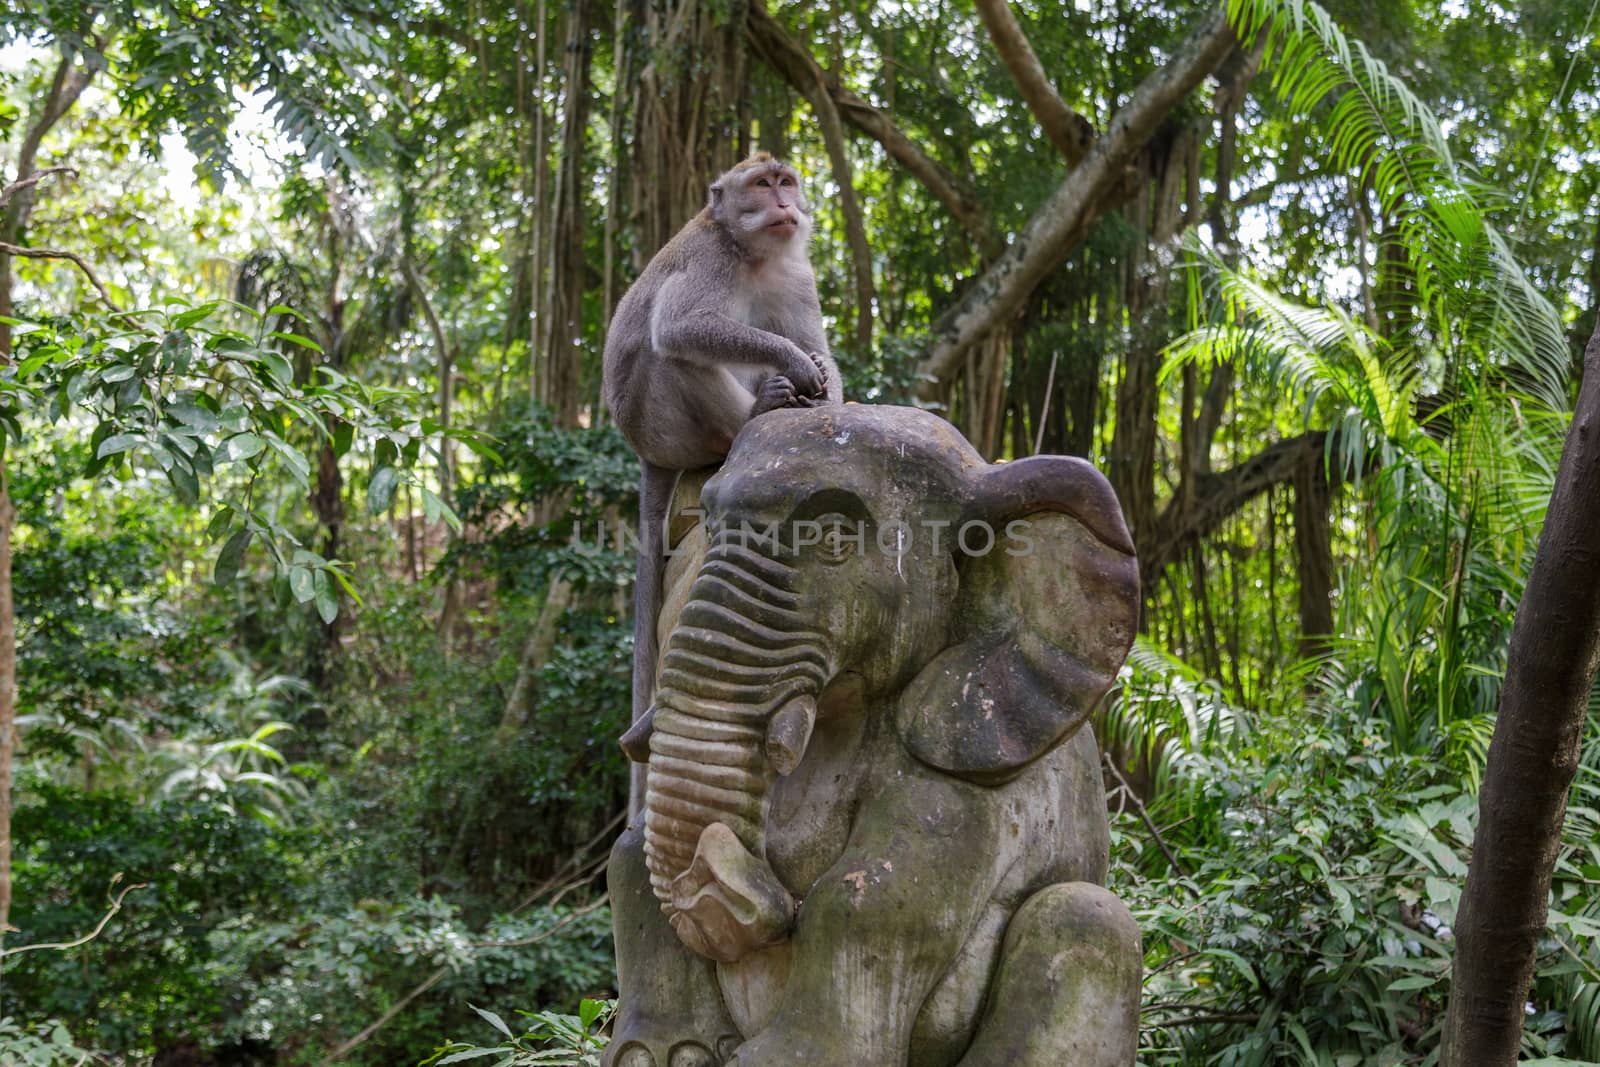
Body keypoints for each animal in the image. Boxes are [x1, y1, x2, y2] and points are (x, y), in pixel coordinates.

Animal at [601, 154, 844, 809]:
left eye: (786, 182)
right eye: (761, 185)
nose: (784, 202)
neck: (753, 252)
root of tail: (642, 449)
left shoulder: (797, 274)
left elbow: (818, 349)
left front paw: (829, 393)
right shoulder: (712, 260)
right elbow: (683, 326)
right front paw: (794, 364)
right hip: (663, 424)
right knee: (672, 351)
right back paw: (757, 414)